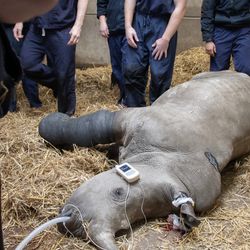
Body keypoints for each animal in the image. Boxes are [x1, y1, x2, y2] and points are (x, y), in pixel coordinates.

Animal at [38, 71, 250, 249]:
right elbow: (91, 127)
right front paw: (48, 124)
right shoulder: (132, 118)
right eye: (118, 191)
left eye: (125, 225)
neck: (157, 158)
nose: (74, 224)